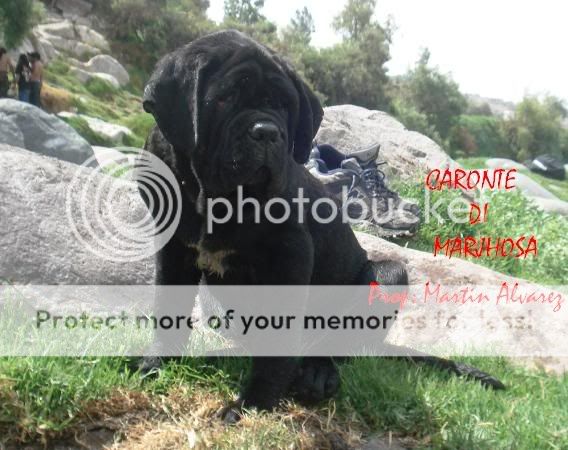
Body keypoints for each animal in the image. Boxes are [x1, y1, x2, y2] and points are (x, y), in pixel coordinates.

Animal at [140, 29, 504, 420]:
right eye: (224, 99)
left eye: (285, 106)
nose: (267, 132)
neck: (215, 197)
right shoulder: (173, 250)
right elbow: (168, 310)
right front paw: (156, 363)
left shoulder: (291, 255)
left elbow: (278, 340)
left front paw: (254, 403)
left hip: (388, 276)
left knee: (335, 344)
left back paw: (317, 374)